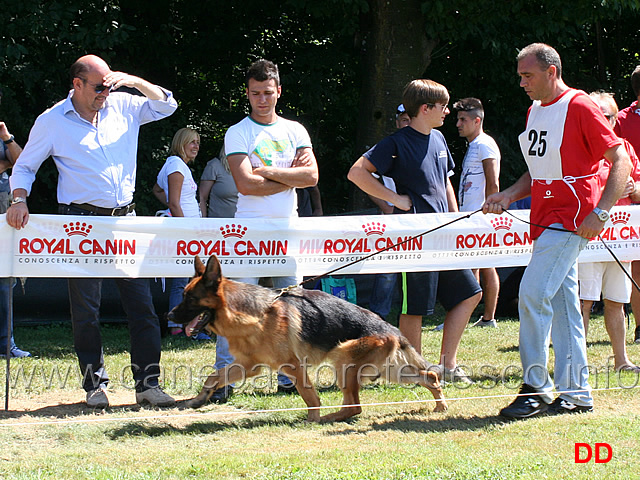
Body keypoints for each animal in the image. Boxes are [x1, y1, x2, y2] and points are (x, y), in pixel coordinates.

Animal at [166, 255, 444, 420]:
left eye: (190, 299)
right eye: (183, 296)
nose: (169, 314)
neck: (253, 314)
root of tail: (392, 330)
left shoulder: (292, 365)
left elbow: (309, 395)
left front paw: (312, 419)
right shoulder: (248, 366)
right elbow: (214, 377)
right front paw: (198, 400)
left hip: (344, 358)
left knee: (355, 406)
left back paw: (328, 419)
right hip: (388, 369)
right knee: (428, 376)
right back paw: (440, 406)